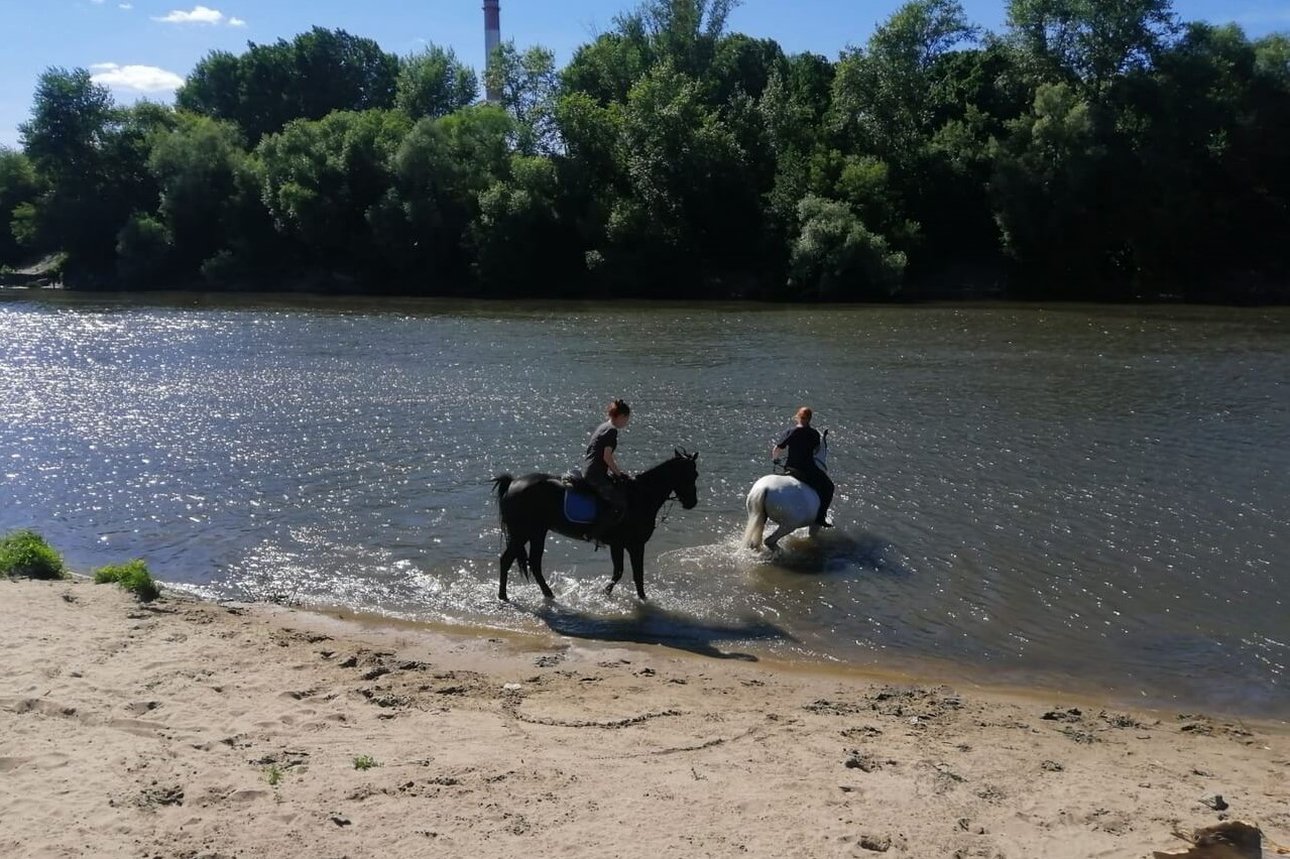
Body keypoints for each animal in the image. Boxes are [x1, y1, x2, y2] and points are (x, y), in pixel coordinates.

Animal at [490, 451, 696, 598]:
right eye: (691, 474)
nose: (692, 503)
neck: (639, 496)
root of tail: (512, 483)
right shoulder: (633, 545)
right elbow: (633, 575)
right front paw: (637, 598)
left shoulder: (620, 545)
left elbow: (621, 573)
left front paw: (606, 593)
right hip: (522, 533)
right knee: (507, 560)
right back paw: (503, 596)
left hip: (537, 533)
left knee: (534, 563)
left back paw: (548, 594)